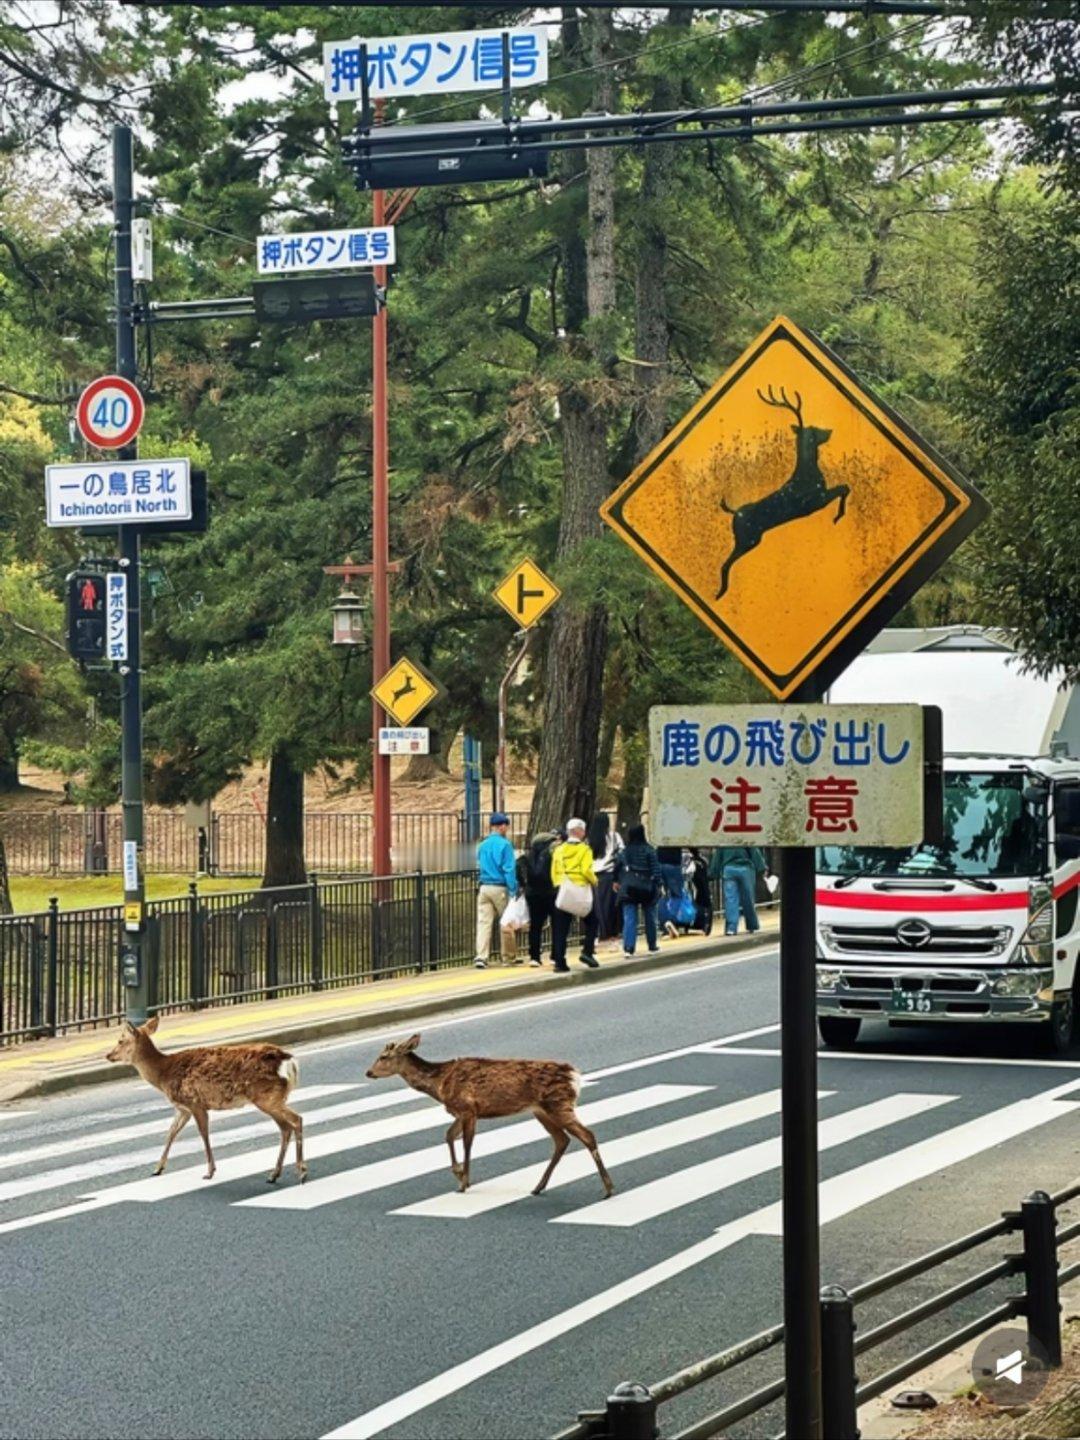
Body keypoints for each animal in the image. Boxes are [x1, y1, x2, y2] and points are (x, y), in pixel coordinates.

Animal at [106, 1016, 307, 1185]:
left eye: (120, 1040)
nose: (108, 1055)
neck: (163, 1075)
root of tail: (288, 1061)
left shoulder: (195, 1103)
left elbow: (203, 1134)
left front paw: (210, 1172)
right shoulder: (183, 1109)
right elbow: (171, 1133)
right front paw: (157, 1168)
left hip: (265, 1096)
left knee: (293, 1121)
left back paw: (297, 1172)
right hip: (273, 1097)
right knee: (290, 1124)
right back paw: (278, 1174)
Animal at [365, 1033, 614, 1198]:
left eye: (384, 1056)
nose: (368, 1072)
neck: (440, 1083)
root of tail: (575, 1076)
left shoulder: (468, 1108)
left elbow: (466, 1143)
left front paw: (464, 1182)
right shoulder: (461, 1111)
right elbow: (448, 1135)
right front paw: (458, 1173)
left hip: (558, 1104)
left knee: (587, 1135)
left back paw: (608, 1188)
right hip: (542, 1110)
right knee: (562, 1140)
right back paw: (538, 1186)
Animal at [716, 386, 849, 599]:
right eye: (814, 430)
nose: (829, 431)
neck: (809, 472)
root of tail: (734, 512)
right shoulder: (816, 501)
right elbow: (844, 488)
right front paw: (838, 516)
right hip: (747, 538)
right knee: (725, 564)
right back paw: (721, 593)